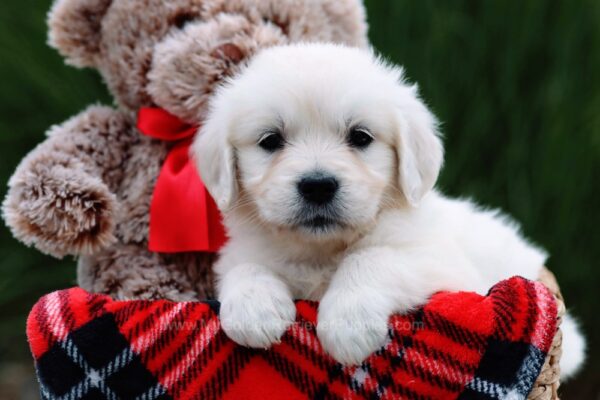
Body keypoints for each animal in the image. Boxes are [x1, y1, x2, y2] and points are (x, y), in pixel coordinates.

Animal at [193, 41, 584, 376]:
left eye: (360, 137)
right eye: (270, 140)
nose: (318, 186)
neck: (322, 251)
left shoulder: (444, 268)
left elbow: (371, 258)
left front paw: (347, 325)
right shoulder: (240, 252)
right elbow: (245, 267)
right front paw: (253, 310)